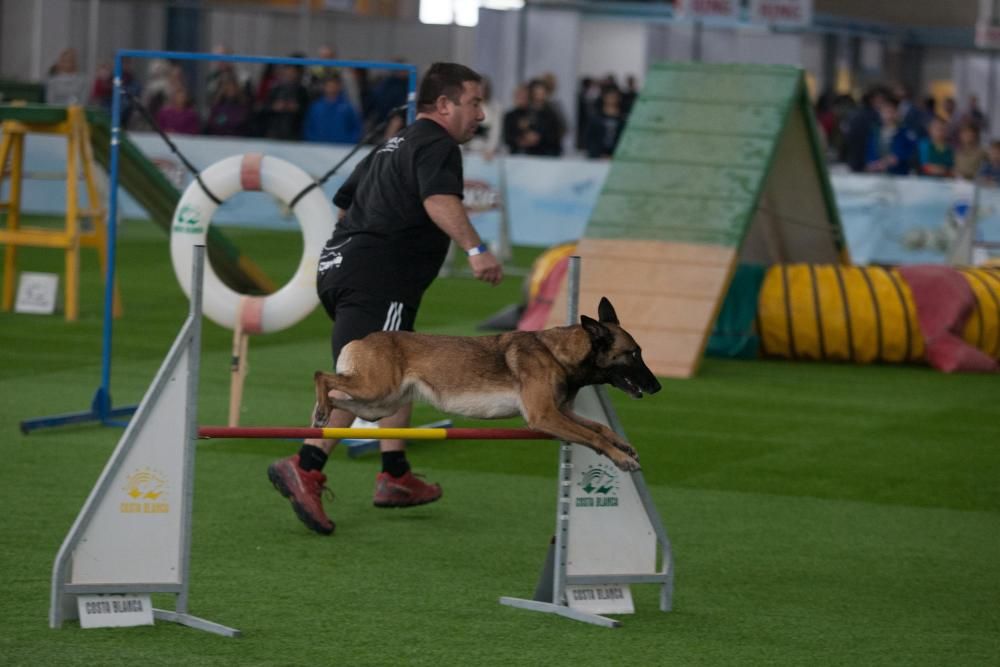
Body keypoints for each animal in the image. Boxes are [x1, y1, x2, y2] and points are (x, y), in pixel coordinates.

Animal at [308, 298, 660, 470]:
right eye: (633, 354)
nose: (657, 387)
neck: (559, 354)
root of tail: (362, 338)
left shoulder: (561, 413)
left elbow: (600, 428)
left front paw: (623, 445)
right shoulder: (544, 417)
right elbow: (592, 436)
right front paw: (622, 459)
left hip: (378, 405)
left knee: (337, 395)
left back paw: (320, 413)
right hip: (375, 389)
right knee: (321, 375)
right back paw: (320, 411)